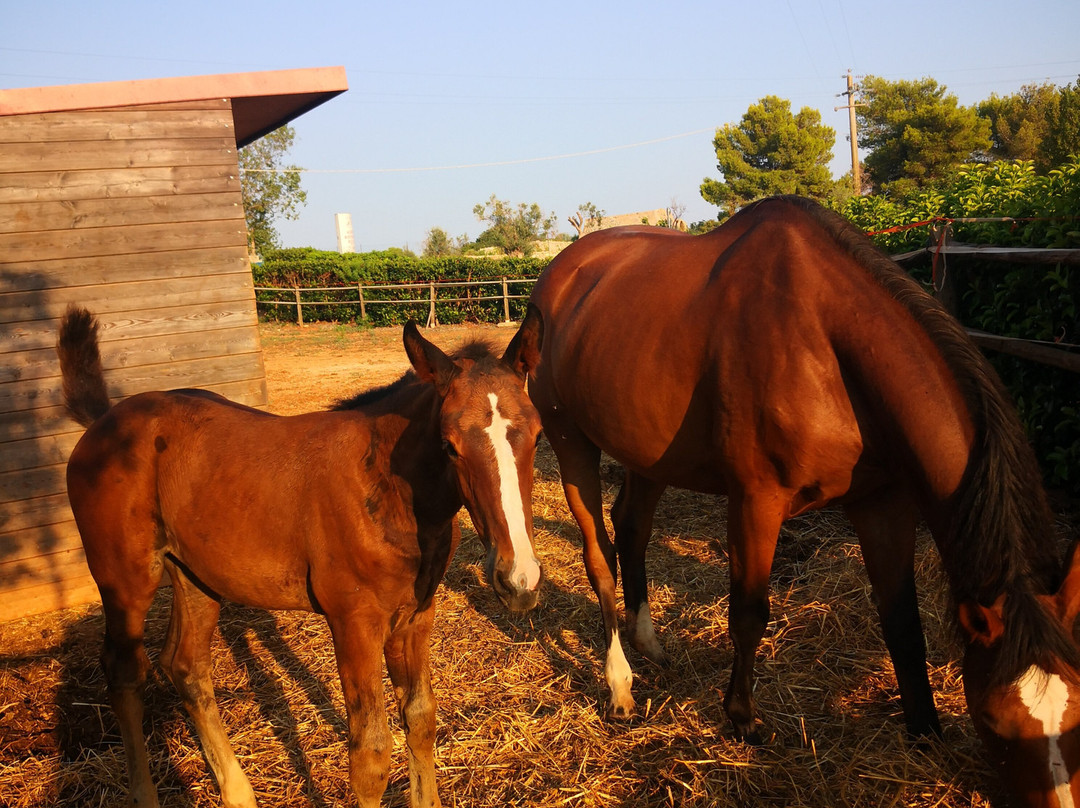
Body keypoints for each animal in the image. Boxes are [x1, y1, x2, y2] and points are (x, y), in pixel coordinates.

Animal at [57, 304, 545, 808]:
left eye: (539, 435)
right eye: (449, 445)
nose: (519, 580)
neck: (387, 487)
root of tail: (104, 420)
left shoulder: (415, 615)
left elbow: (421, 719)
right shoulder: (353, 622)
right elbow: (370, 754)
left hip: (195, 576)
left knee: (185, 666)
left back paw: (239, 793)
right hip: (125, 579)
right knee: (124, 672)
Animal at [527, 196, 1080, 806]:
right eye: (997, 724)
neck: (824, 339)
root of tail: (558, 275)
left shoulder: (884, 504)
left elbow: (901, 621)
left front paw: (924, 728)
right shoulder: (756, 501)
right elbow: (748, 614)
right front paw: (743, 718)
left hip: (648, 454)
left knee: (631, 528)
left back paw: (649, 641)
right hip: (571, 441)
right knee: (599, 556)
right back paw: (621, 684)